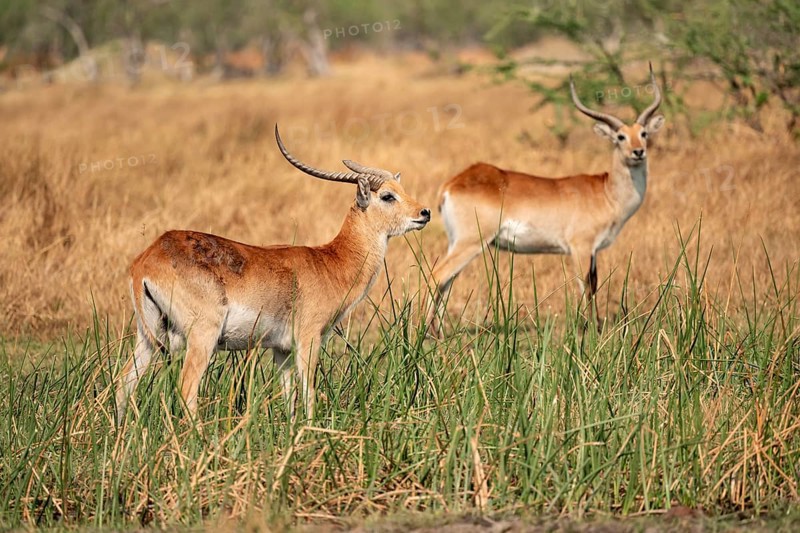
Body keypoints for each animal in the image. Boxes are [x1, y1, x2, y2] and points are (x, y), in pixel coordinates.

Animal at [116, 125, 431, 420]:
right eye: (388, 196)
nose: (424, 212)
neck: (331, 262)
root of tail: (147, 259)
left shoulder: (281, 350)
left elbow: (290, 398)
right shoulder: (308, 339)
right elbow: (309, 393)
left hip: (147, 337)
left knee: (123, 385)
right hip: (202, 336)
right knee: (186, 389)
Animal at [427, 65, 664, 333]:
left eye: (643, 133)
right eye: (620, 137)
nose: (638, 152)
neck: (606, 192)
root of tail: (453, 183)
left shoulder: (593, 252)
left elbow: (593, 285)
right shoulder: (580, 248)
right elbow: (585, 287)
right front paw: (590, 329)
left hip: (458, 242)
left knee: (446, 282)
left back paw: (439, 333)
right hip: (471, 242)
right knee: (438, 276)